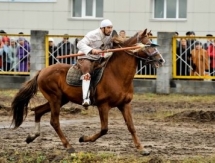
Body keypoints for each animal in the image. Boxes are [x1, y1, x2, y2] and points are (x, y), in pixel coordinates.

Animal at [10, 28, 165, 156]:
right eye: (147, 44)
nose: (161, 60)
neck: (117, 74)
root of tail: (42, 71)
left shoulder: (125, 105)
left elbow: (131, 127)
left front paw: (141, 148)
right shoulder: (103, 105)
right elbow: (104, 129)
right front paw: (84, 138)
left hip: (60, 99)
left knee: (38, 111)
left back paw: (32, 136)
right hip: (55, 99)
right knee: (54, 122)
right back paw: (68, 146)